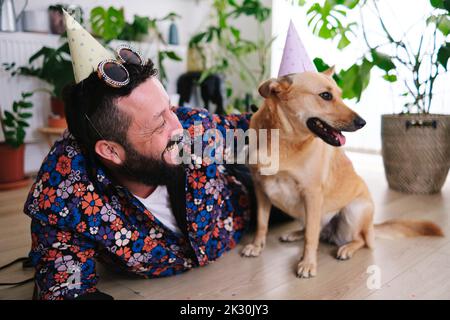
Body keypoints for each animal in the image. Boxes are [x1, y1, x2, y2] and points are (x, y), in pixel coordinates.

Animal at [243, 69, 442, 278]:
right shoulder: (261, 190)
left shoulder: (312, 194)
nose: (362, 122)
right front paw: (256, 246)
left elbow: (311, 237)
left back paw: (347, 248)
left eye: (340, 95)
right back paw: (295, 233)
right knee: (313, 229)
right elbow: (262, 223)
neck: (282, 141)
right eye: (326, 95)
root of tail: (371, 227)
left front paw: (308, 263)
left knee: (360, 240)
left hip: (353, 211)